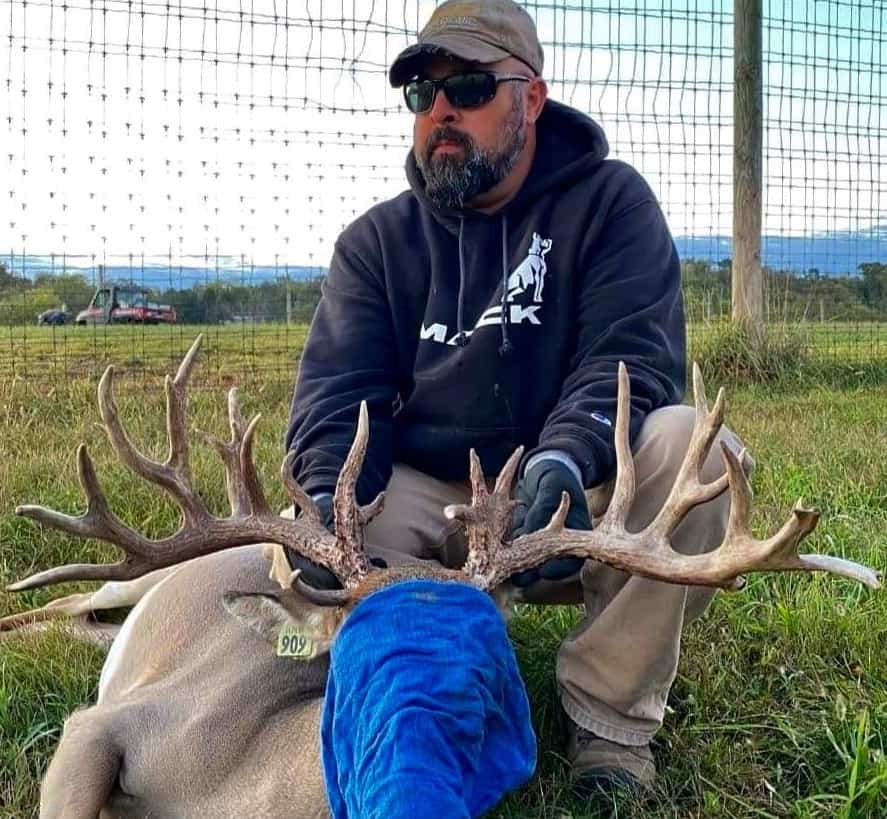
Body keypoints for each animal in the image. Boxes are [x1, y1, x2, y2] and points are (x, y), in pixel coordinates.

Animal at [2, 336, 880, 819]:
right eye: (354, 649)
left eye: (491, 662)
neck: (232, 792)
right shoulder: (108, 727)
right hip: (140, 579)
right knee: (74, 597)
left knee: (87, 621)